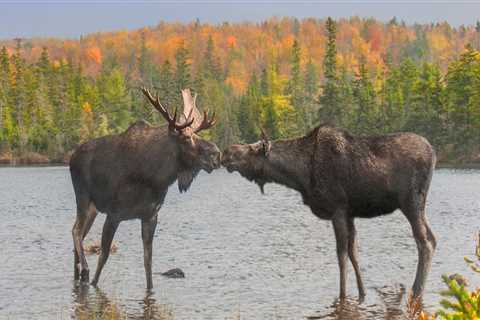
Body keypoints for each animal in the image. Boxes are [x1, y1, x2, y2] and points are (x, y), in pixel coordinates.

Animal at [69, 88, 219, 290]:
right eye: (187, 138)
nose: (217, 154)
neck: (156, 178)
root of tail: (71, 157)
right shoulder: (114, 214)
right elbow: (104, 256)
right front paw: (93, 282)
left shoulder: (150, 216)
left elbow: (148, 261)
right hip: (83, 197)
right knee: (76, 231)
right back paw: (84, 270)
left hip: (94, 208)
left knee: (79, 234)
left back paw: (77, 274)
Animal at [221, 125, 436, 300]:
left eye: (252, 150)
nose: (226, 152)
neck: (300, 176)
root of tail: (433, 153)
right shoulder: (349, 214)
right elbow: (354, 253)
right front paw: (362, 292)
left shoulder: (337, 210)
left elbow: (341, 255)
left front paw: (342, 295)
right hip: (419, 206)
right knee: (433, 239)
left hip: (411, 202)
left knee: (424, 243)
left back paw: (416, 290)